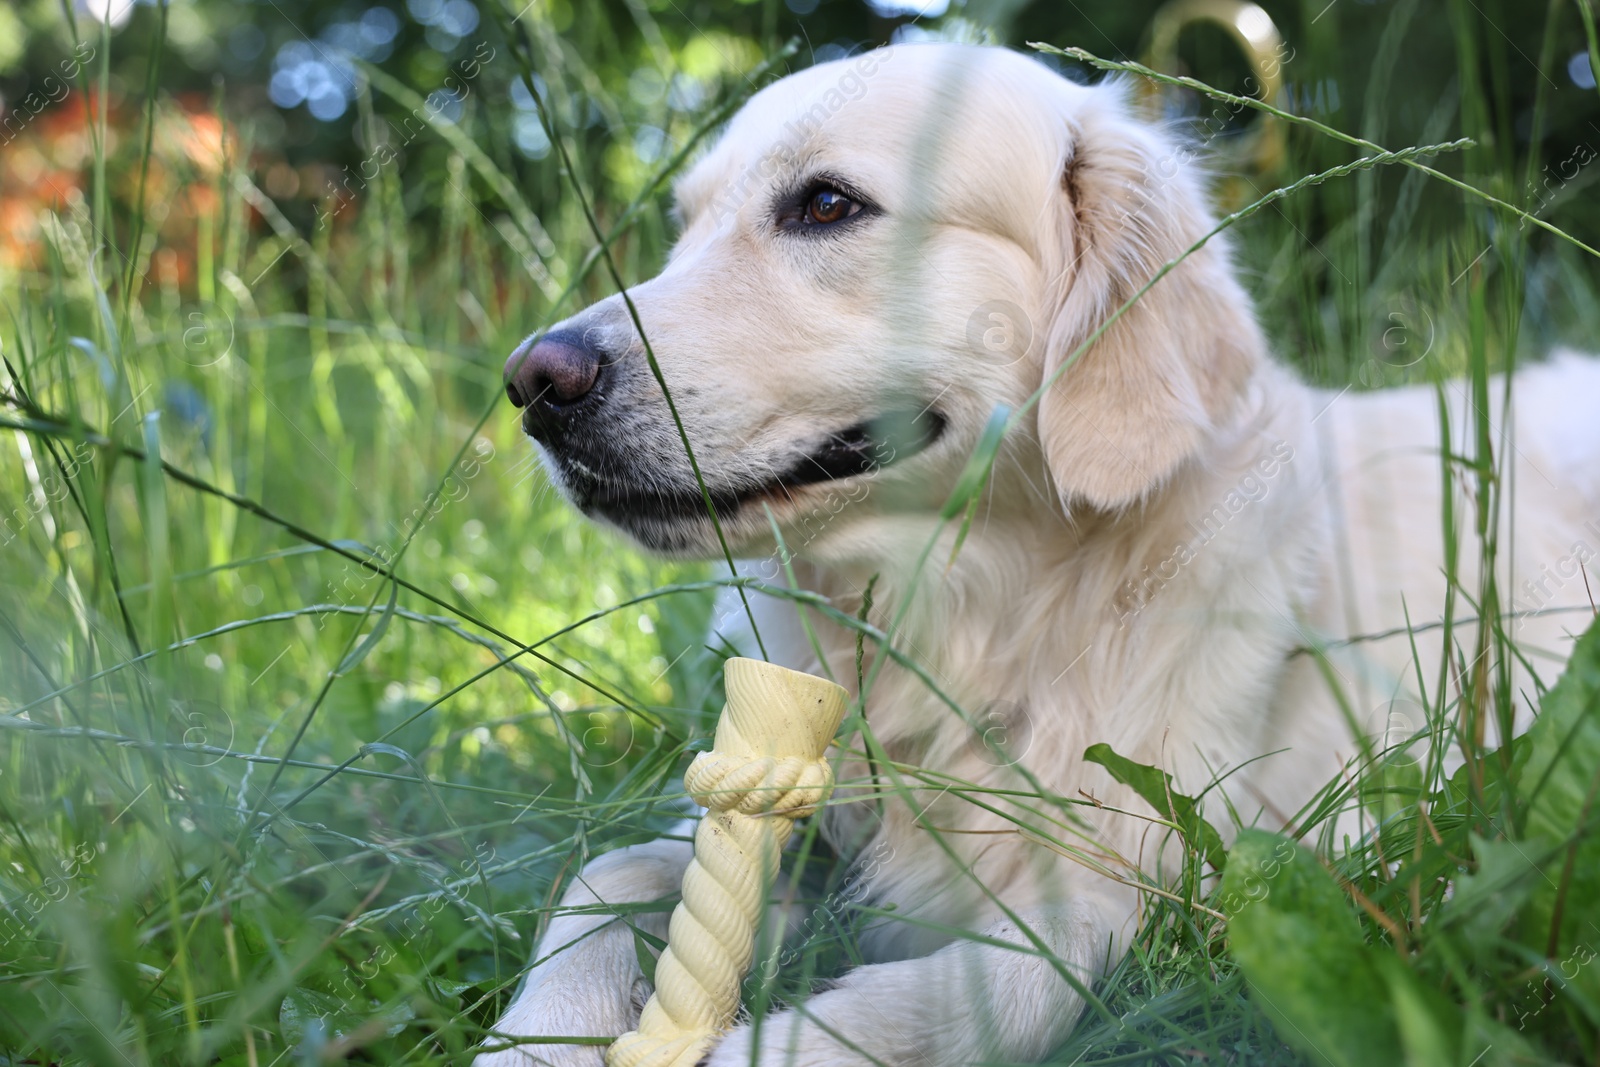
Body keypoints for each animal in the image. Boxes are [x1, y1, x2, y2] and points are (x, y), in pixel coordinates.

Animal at [476, 41, 1600, 1067]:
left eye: (827, 204)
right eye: (682, 229)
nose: (533, 382)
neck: (984, 615)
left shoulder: (1165, 881)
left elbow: (987, 988)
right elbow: (605, 874)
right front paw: (536, 1036)